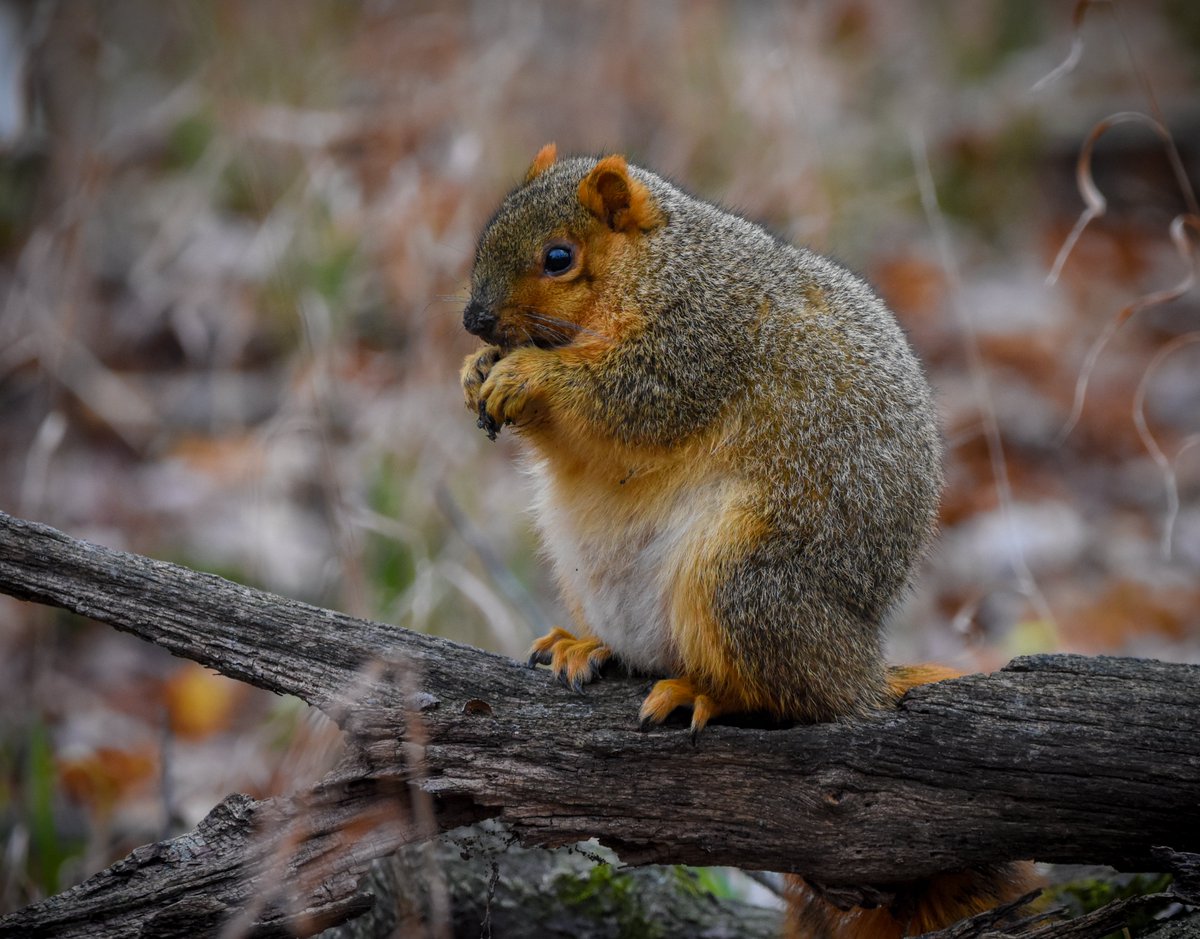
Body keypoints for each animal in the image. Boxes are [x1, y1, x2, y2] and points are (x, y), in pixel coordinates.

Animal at [456, 143, 1032, 936]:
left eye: (558, 257)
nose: (474, 319)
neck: (660, 264)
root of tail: (860, 671)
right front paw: (476, 371)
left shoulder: (699, 340)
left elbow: (629, 401)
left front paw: (527, 373)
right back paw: (587, 646)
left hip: (743, 579)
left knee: (790, 700)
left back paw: (704, 692)